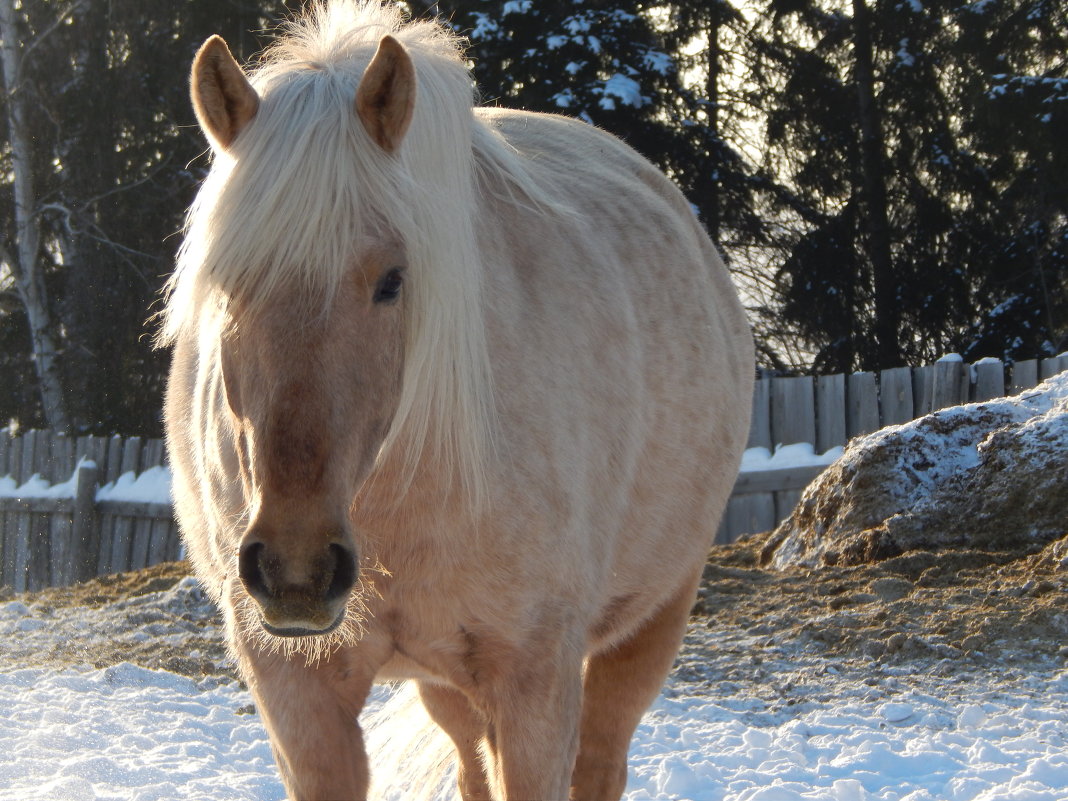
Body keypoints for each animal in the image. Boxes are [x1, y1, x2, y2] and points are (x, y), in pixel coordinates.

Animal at [162, 3, 756, 798]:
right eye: (226, 285)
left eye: (392, 280)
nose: (296, 566)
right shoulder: (298, 691)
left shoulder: (535, 681)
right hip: (445, 683)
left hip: (650, 622)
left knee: (602, 758)